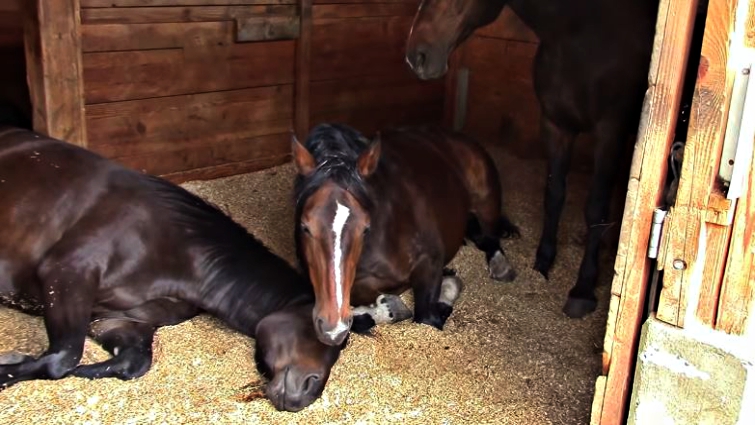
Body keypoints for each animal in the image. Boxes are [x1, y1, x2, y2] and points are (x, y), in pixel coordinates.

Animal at [0, 126, 344, 412]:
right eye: (314, 328)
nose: (308, 392)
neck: (170, 247)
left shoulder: (115, 319)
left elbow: (130, 364)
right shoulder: (66, 275)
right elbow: (62, 359)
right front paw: (8, 368)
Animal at [291, 123, 519, 346]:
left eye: (365, 228)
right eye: (305, 226)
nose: (333, 329)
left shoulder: (430, 263)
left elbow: (427, 318)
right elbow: (360, 319)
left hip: (487, 203)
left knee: (490, 237)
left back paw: (501, 267)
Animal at [405, 0, 661, 318]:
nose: (416, 56)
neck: (578, 35)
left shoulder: (610, 133)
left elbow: (595, 208)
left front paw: (583, 288)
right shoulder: (555, 125)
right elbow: (554, 194)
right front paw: (544, 260)